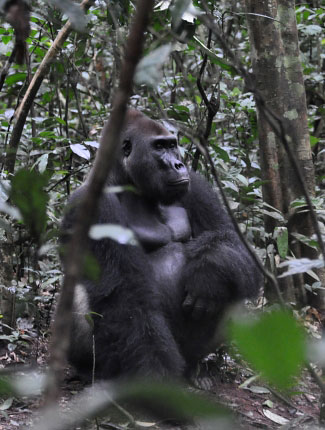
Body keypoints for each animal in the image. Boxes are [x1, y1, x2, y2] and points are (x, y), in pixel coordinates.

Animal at [61, 109, 260, 382]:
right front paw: (155, 379)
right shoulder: (91, 207)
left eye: (172, 145)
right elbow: (127, 296)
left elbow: (231, 241)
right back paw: (92, 370)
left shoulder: (195, 184)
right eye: (159, 147)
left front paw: (208, 275)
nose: (178, 164)